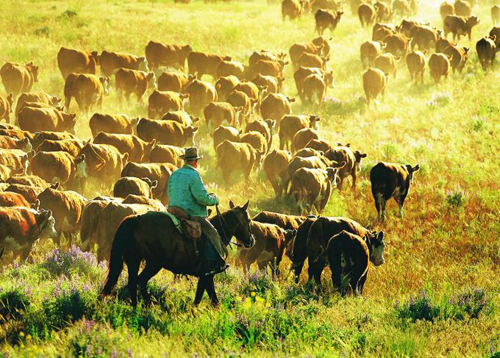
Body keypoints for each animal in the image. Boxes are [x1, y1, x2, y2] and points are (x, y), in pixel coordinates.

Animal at [103, 200, 256, 306]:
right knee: (140, 281)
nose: (251, 240)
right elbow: (207, 298)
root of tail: (137, 218)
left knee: (132, 283)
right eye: (248, 220)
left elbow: (206, 297)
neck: (218, 230)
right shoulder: (207, 275)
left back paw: (137, 307)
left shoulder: (205, 276)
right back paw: (149, 305)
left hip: (134, 260)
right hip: (153, 264)